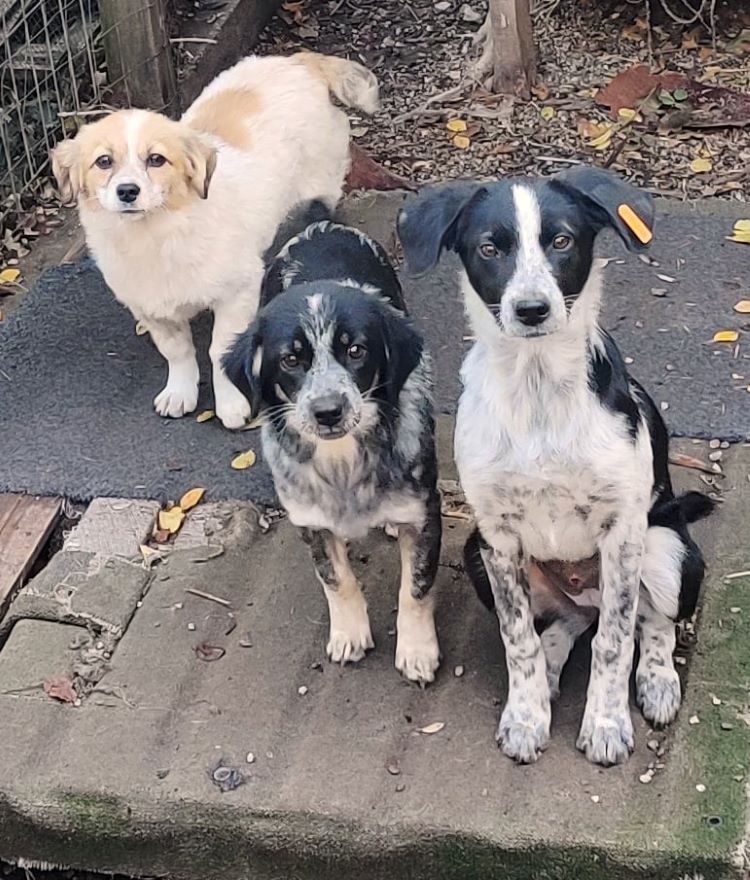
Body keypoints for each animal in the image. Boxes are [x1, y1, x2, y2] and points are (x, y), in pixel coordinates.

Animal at [53, 53, 378, 428]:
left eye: (156, 159)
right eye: (103, 161)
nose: (127, 191)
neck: (156, 235)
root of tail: (299, 60)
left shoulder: (236, 293)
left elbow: (219, 350)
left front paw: (231, 404)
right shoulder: (150, 308)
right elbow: (177, 350)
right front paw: (179, 391)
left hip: (321, 184)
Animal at [226, 222, 444, 688]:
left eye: (356, 350)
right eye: (290, 360)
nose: (328, 411)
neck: (343, 462)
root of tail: (319, 226)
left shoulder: (424, 510)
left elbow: (415, 585)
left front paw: (417, 651)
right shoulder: (309, 520)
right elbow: (335, 578)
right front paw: (349, 633)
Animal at [396, 167, 712, 764]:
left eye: (562, 241)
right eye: (490, 248)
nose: (532, 310)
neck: (538, 388)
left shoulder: (623, 534)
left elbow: (615, 641)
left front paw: (607, 724)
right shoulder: (497, 539)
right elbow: (517, 638)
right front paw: (527, 715)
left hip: (668, 550)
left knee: (650, 621)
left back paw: (657, 680)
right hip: (476, 553)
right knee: (567, 622)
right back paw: (549, 668)